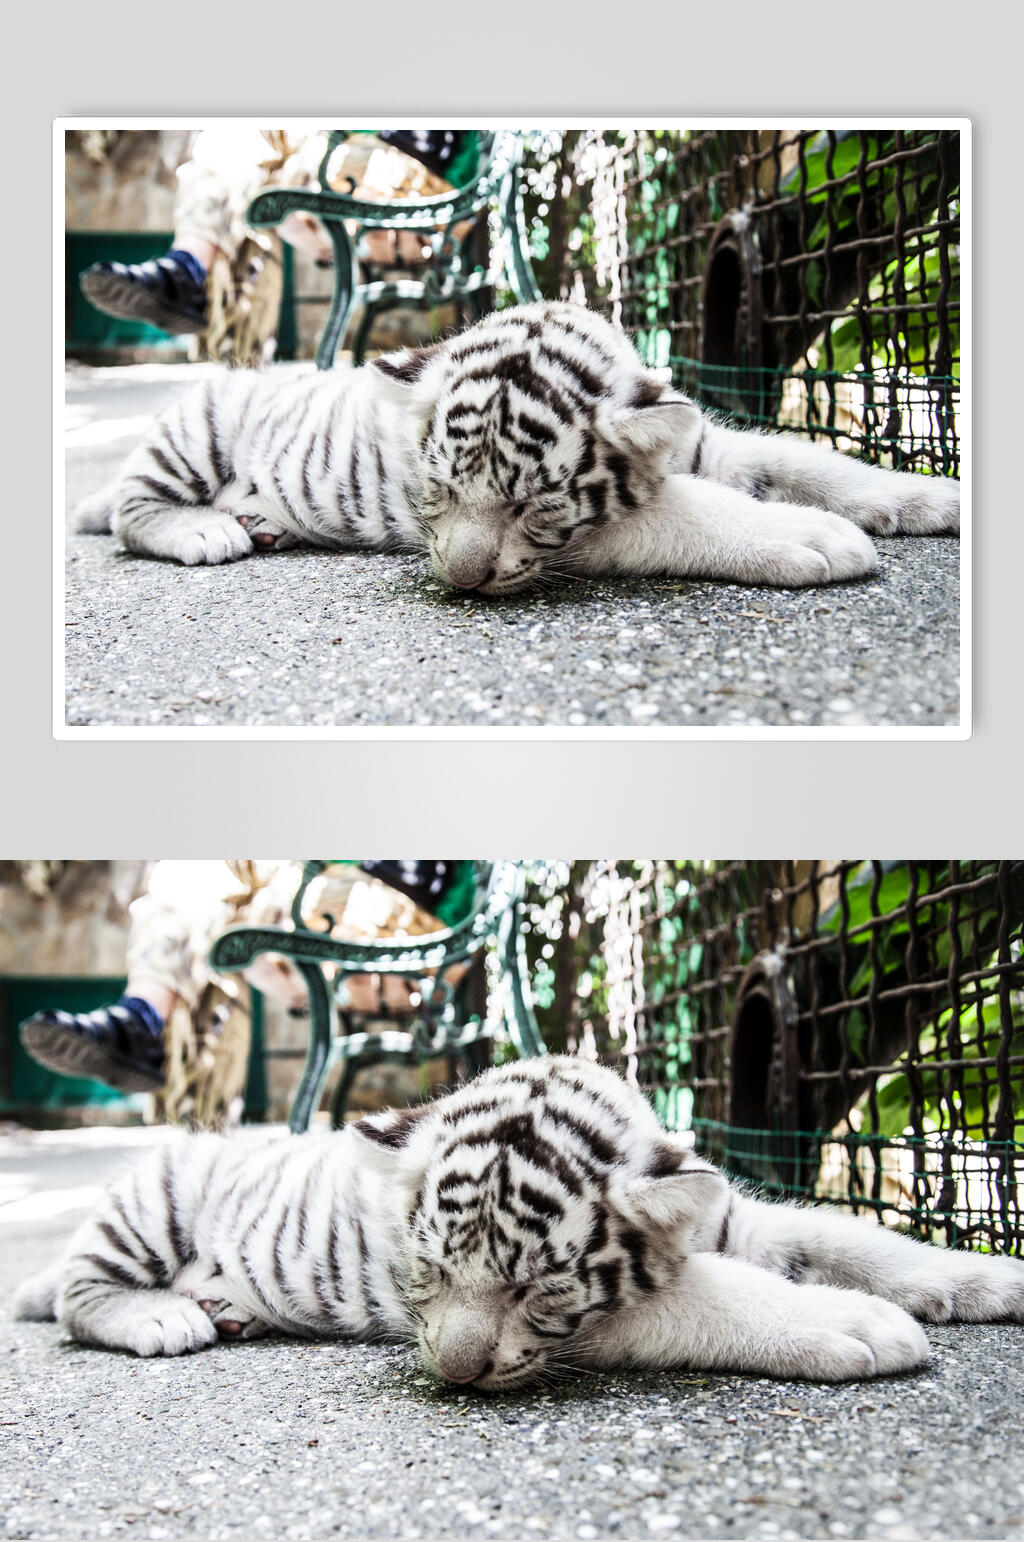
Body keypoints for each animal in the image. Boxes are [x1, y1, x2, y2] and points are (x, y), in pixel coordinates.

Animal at [14, 1057, 1020, 1387]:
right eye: (424, 1272)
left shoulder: (737, 1220)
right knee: (75, 1292)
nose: (455, 1377)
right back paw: (163, 1316)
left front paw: (991, 1277)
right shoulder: (613, 1318)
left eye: (538, 1288)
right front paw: (854, 1323)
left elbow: (846, 1236)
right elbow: (713, 1297)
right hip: (157, 1195)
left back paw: (225, 1307)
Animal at [73, 301, 959, 595]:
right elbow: (690, 513)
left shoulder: (707, 445)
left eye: (534, 504)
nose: (462, 583)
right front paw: (812, 536)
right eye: (433, 490)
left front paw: (931, 495)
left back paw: (261, 522)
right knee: (128, 509)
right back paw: (206, 529)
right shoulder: (601, 530)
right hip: (200, 423)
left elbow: (803, 460)